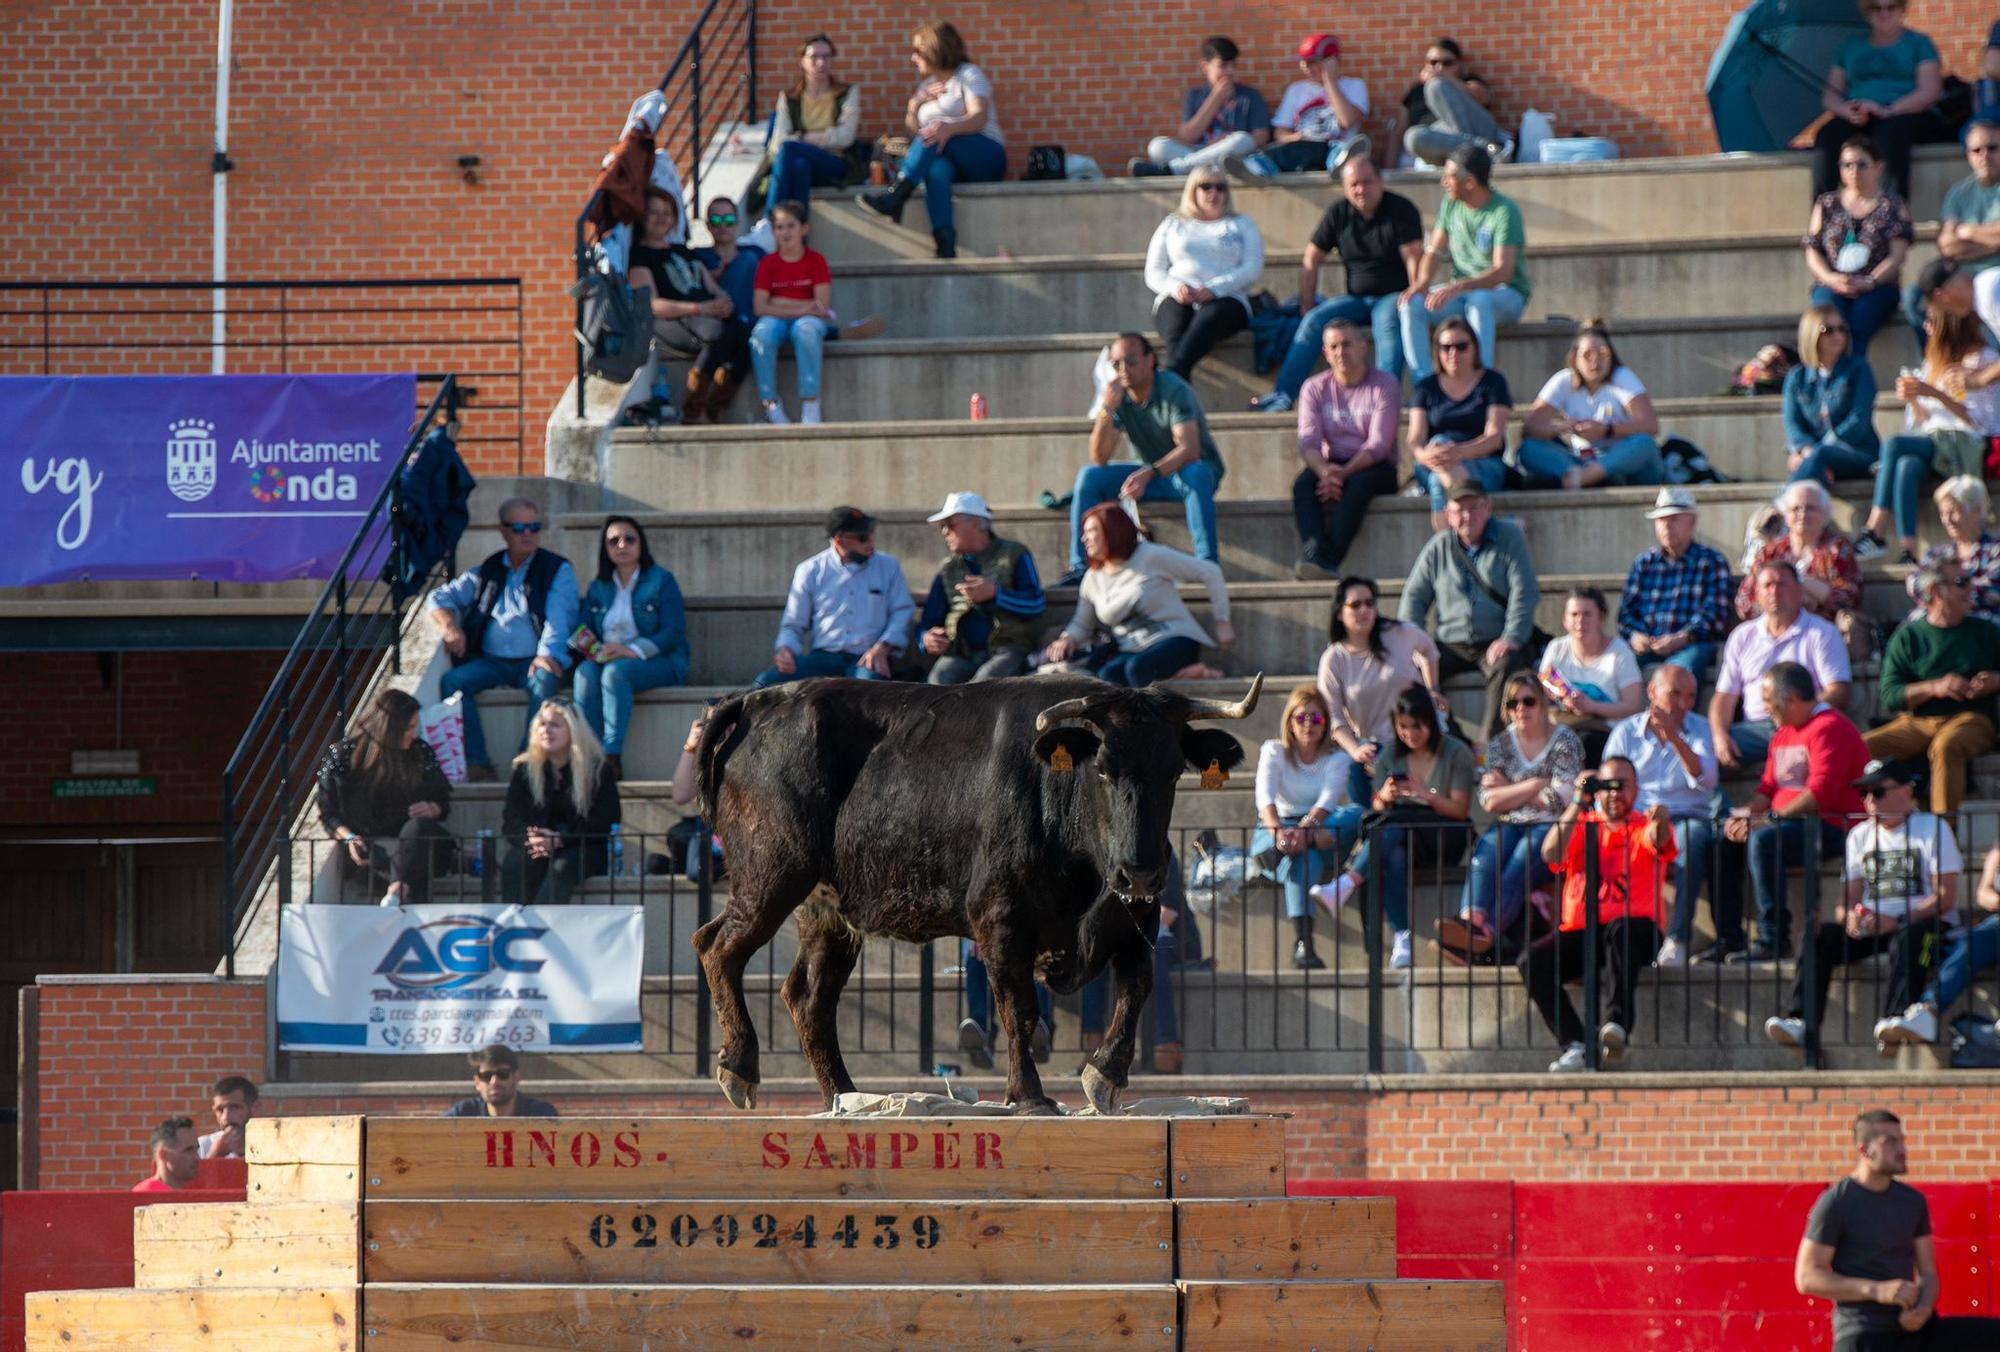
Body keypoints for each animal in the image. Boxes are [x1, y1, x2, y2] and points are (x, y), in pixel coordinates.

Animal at [696, 672, 1256, 1112]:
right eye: (1103, 769)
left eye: (1174, 771)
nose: (1138, 873)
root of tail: (757, 702)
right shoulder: (999, 919)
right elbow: (1020, 1010)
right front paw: (1029, 1096)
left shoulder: (1136, 917)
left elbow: (1137, 987)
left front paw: (1105, 1075)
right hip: (772, 877)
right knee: (718, 946)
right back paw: (740, 1068)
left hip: (828, 911)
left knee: (809, 998)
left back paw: (846, 1096)